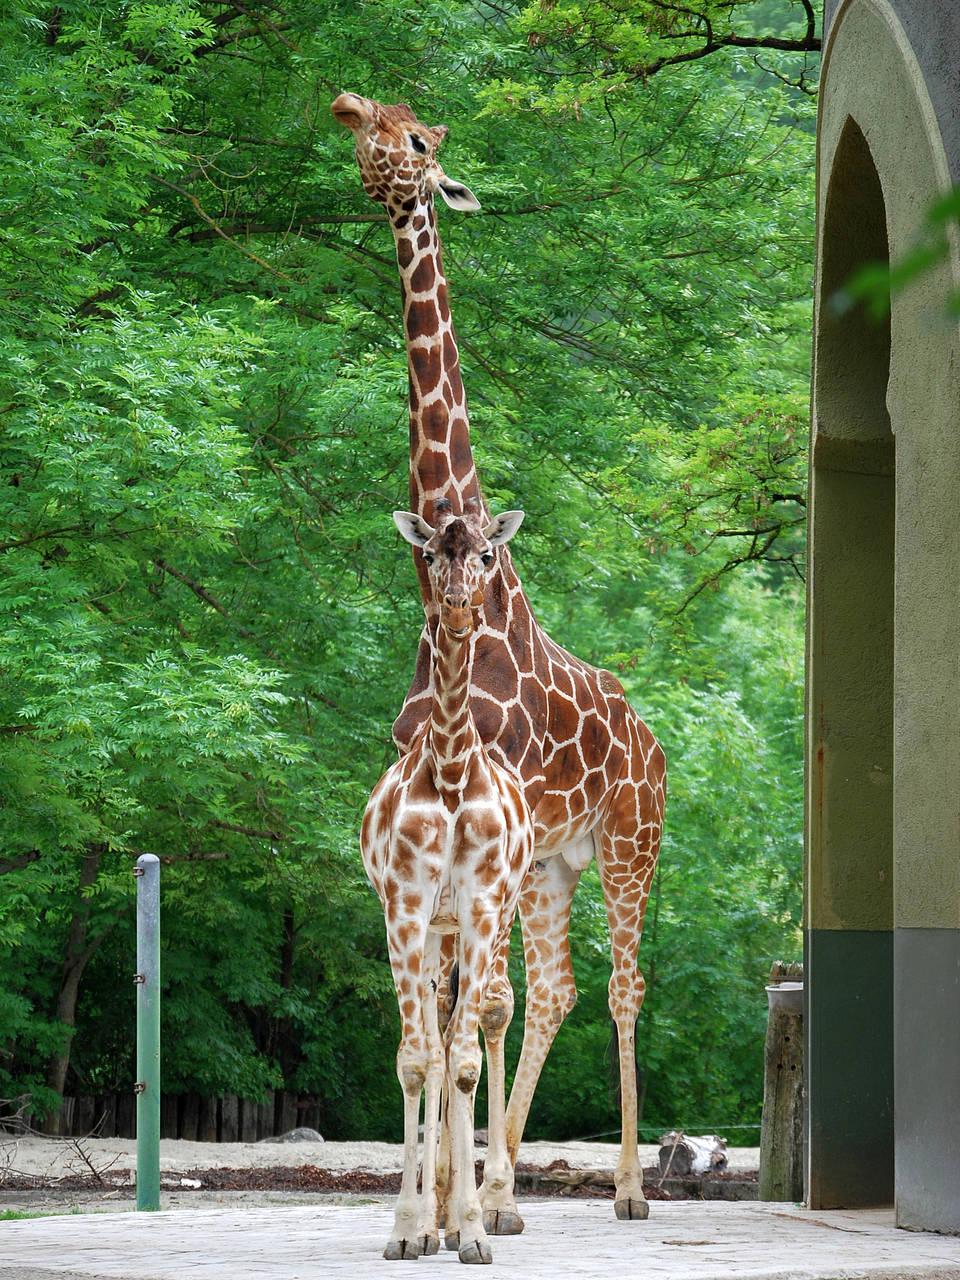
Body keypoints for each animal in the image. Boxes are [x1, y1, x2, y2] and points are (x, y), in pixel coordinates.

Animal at [335, 92, 665, 1228]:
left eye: (418, 141)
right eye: (371, 118)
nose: (348, 109)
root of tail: (655, 741)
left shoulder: (499, 823)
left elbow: (478, 1005)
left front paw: (463, 1203)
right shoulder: (447, 839)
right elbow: (450, 1008)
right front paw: (444, 1201)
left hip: (628, 844)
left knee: (615, 988)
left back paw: (624, 1187)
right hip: (558, 862)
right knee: (555, 989)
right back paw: (504, 1176)